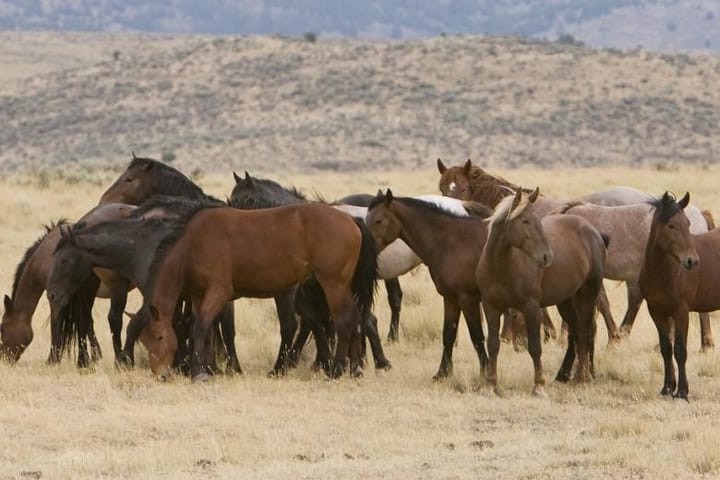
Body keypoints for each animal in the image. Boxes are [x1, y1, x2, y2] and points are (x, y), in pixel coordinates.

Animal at [1, 203, 135, 366]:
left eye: (2, 329)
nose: (4, 359)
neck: (45, 258)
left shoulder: (57, 297)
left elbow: (56, 324)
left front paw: (53, 359)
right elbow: (87, 323)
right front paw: (95, 355)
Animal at [135, 202, 378, 381]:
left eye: (160, 336)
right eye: (144, 342)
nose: (161, 374)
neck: (193, 244)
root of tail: (351, 219)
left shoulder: (218, 293)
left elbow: (201, 328)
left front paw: (199, 372)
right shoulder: (197, 295)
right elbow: (207, 331)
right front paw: (209, 368)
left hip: (333, 285)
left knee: (344, 323)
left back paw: (336, 371)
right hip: (343, 288)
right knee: (356, 321)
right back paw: (354, 370)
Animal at [366, 191, 495, 380]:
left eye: (379, 220)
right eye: (367, 218)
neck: (452, 241)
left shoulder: (467, 299)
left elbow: (477, 336)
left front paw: (485, 373)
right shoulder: (450, 298)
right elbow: (448, 334)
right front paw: (442, 373)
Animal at [475, 188, 607, 396]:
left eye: (537, 219)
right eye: (525, 221)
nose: (547, 257)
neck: (500, 267)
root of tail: (593, 231)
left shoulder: (531, 308)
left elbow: (535, 347)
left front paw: (539, 386)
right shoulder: (491, 306)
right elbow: (493, 344)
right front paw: (490, 385)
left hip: (588, 294)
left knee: (586, 332)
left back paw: (581, 377)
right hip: (566, 301)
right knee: (577, 332)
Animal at [639, 192, 720, 400]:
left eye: (688, 224)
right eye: (671, 225)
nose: (692, 261)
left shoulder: (681, 311)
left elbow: (680, 350)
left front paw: (682, 391)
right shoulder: (656, 312)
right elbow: (666, 349)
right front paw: (667, 388)